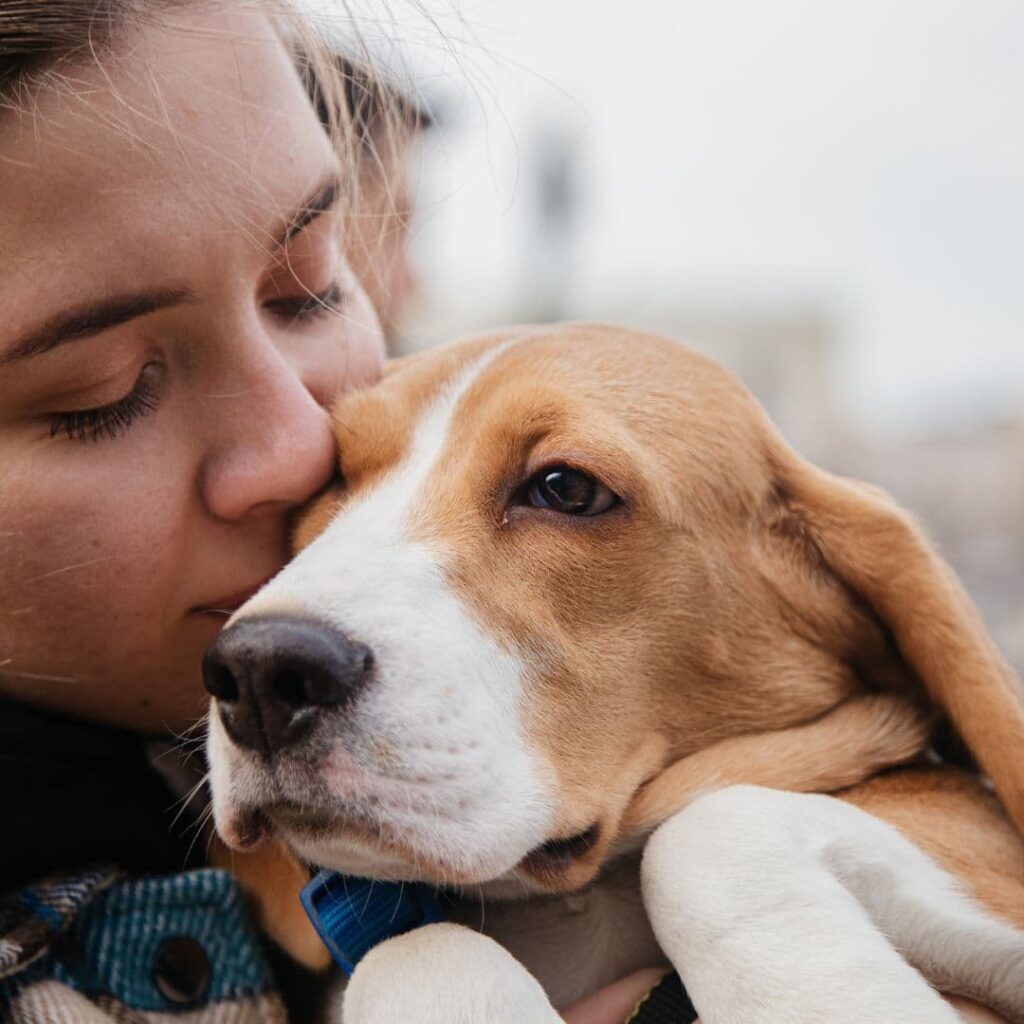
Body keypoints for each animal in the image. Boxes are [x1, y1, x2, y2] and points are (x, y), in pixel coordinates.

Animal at [201, 325, 1024, 1024]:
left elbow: (706, 831)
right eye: (334, 476)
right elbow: (413, 948)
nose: (260, 671)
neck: (573, 903)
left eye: (566, 488)